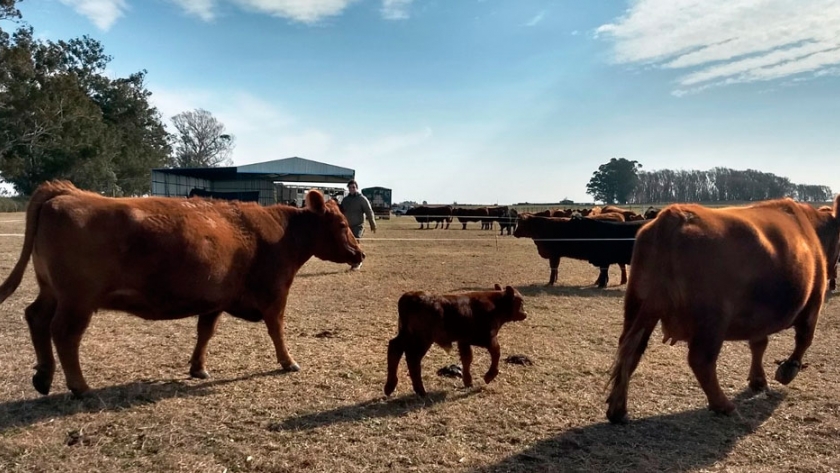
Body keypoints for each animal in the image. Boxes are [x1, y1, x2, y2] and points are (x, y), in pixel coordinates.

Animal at [0, 180, 364, 394]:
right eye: (341, 224)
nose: (360, 253)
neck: (280, 233)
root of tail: (68, 191)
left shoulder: (216, 299)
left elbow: (205, 332)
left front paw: (198, 368)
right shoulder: (275, 294)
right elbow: (277, 330)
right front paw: (288, 362)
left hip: (51, 291)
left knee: (36, 318)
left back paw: (44, 376)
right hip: (77, 300)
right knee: (64, 333)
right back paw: (80, 387)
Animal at [386, 282, 528, 396]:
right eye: (520, 301)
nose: (525, 314)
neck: (495, 304)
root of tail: (411, 297)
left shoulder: (464, 341)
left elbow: (467, 359)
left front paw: (468, 382)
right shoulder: (489, 338)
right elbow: (496, 353)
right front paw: (489, 376)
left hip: (406, 336)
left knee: (395, 349)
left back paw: (390, 387)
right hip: (421, 341)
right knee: (413, 359)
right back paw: (420, 391)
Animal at [512, 215, 648, 288]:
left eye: (521, 223)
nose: (514, 233)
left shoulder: (554, 254)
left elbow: (553, 268)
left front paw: (551, 282)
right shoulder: (556, 255)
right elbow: (555, 268)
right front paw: (554, 280)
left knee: (619, 266)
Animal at [604, 195, 840, 424]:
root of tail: (673, 216)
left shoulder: (757, 318)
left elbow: (759, 344)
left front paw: (758, 380)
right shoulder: (813, 301)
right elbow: (804, 338)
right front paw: (788, 369)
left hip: (638, 306)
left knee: (631, 351)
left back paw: (618, 409)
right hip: (712, 320)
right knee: (701, 360)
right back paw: (723, 405)